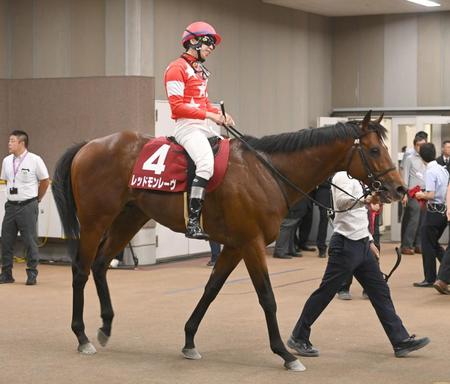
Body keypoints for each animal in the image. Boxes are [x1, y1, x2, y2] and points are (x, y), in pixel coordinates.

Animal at [51, 109, 404, 370]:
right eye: (374, 150)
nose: (398, 189)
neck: (267, 173)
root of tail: (90, 145)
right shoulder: (251, 244)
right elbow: (267, 297)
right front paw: (284, 353)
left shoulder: (234, 245)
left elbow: (211, 290)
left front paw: (189, 340)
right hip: (95, 221)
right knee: (81, 270)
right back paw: (81, 336)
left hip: (130, 217)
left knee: (100, 265)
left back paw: (106, 326)